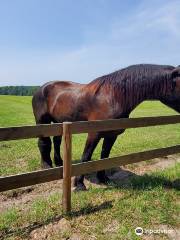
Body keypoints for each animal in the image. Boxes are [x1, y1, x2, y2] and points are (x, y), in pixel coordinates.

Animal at [32, 63, 180, 191]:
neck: (113, 96)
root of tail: (42, 88)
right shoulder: (94, 133)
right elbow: (86, 157)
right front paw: (79, 184)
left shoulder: (111, 135)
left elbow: (105, 156)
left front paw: (103, 178)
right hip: (42, 121)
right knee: (43, 143)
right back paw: (46, 165)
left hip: (59, 121)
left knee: (56, 141)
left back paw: (59, 163)